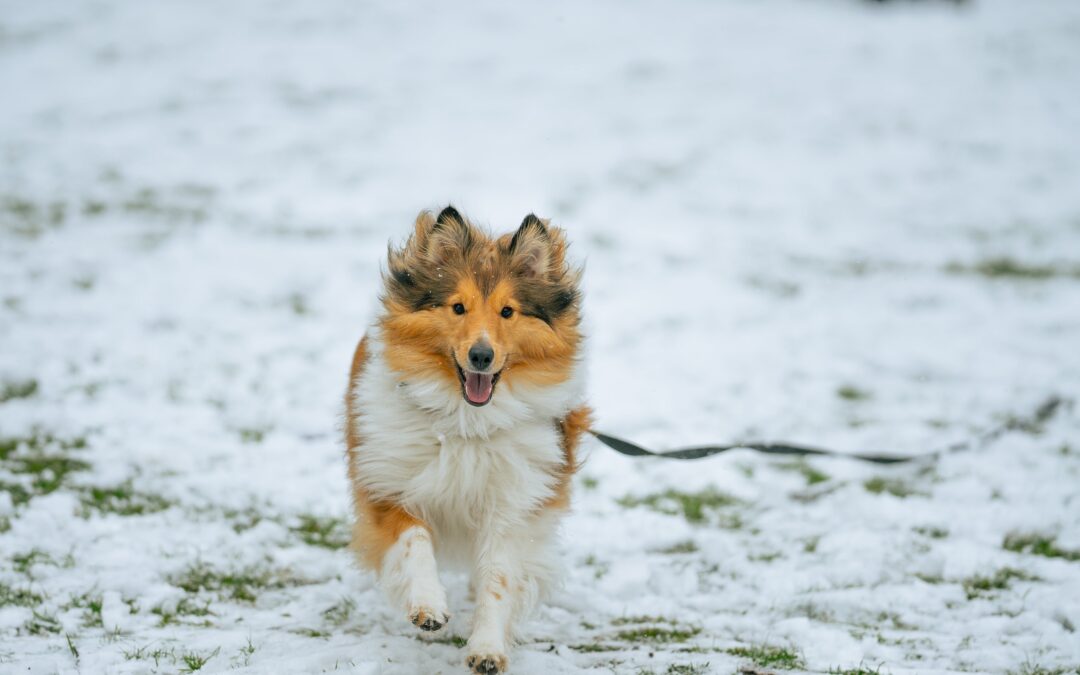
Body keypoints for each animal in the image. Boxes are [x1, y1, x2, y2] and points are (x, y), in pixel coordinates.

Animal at [341, 206, 591, 673]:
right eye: (458, 307)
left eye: (508, 312)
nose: (481, 355)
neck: (466, 424)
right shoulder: (387, 484)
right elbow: (414, 541)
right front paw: (428, 607)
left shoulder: (513, 506)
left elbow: (498, 579)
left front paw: (487, 648)